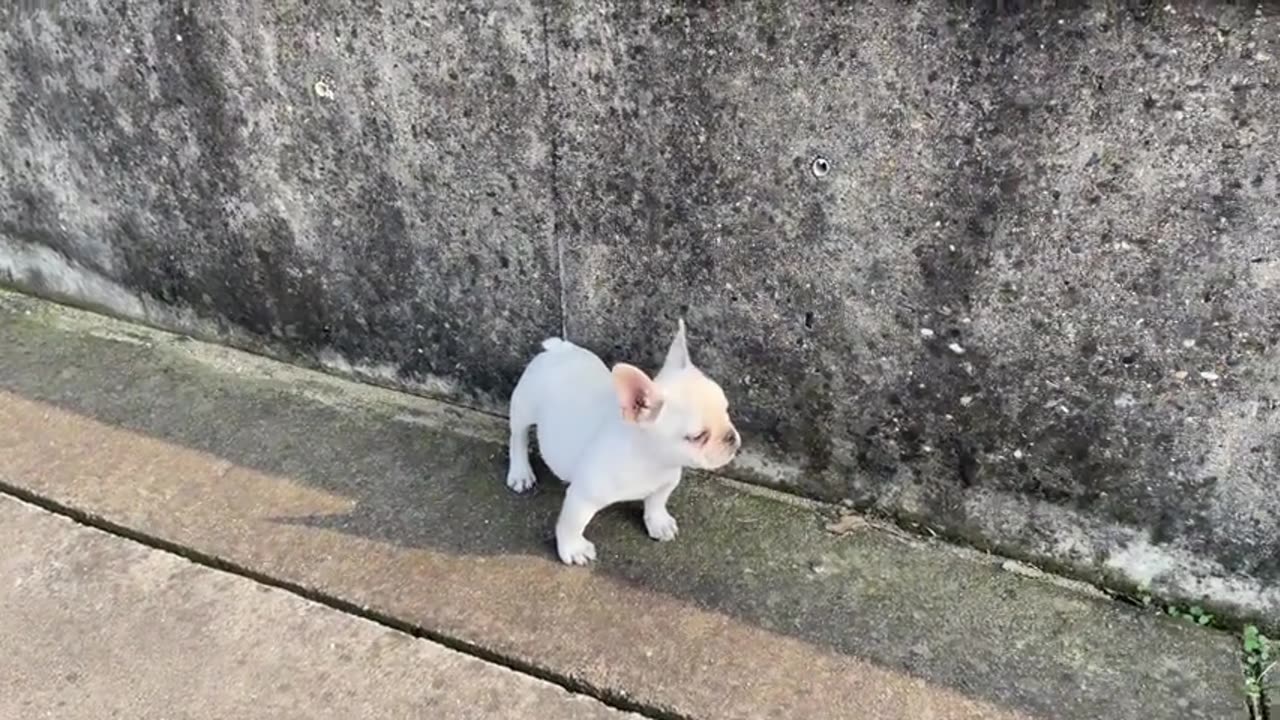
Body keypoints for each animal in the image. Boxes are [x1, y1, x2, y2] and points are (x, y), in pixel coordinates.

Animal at [501, 317, 742, 561]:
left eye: (726, 411)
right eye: (697, 436)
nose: (731, 437)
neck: (650, 460)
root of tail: (559, 349)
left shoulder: (667, 481)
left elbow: (657, 501)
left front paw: (658, 522)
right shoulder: (583, 497)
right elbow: (573, 524)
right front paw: (574, 549)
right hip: (524, 407)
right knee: (518, 437)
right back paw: (521, 472)